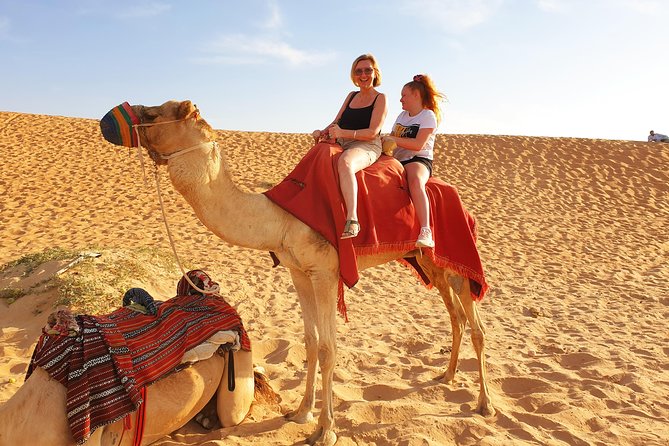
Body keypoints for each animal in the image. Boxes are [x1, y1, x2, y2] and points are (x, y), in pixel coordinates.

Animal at [100, 100, 494, 446]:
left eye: (155, 113)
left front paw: (325, 430)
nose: (108, 118)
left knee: (476, 326)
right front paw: (302, 413)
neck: (280, 218)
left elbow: (328, 347)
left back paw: (485, 404)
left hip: (456, 262)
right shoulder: (299, 273)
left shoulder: (326, 272)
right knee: (456, 316)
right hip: (430, 263)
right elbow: (309, 342)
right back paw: (446, 375)